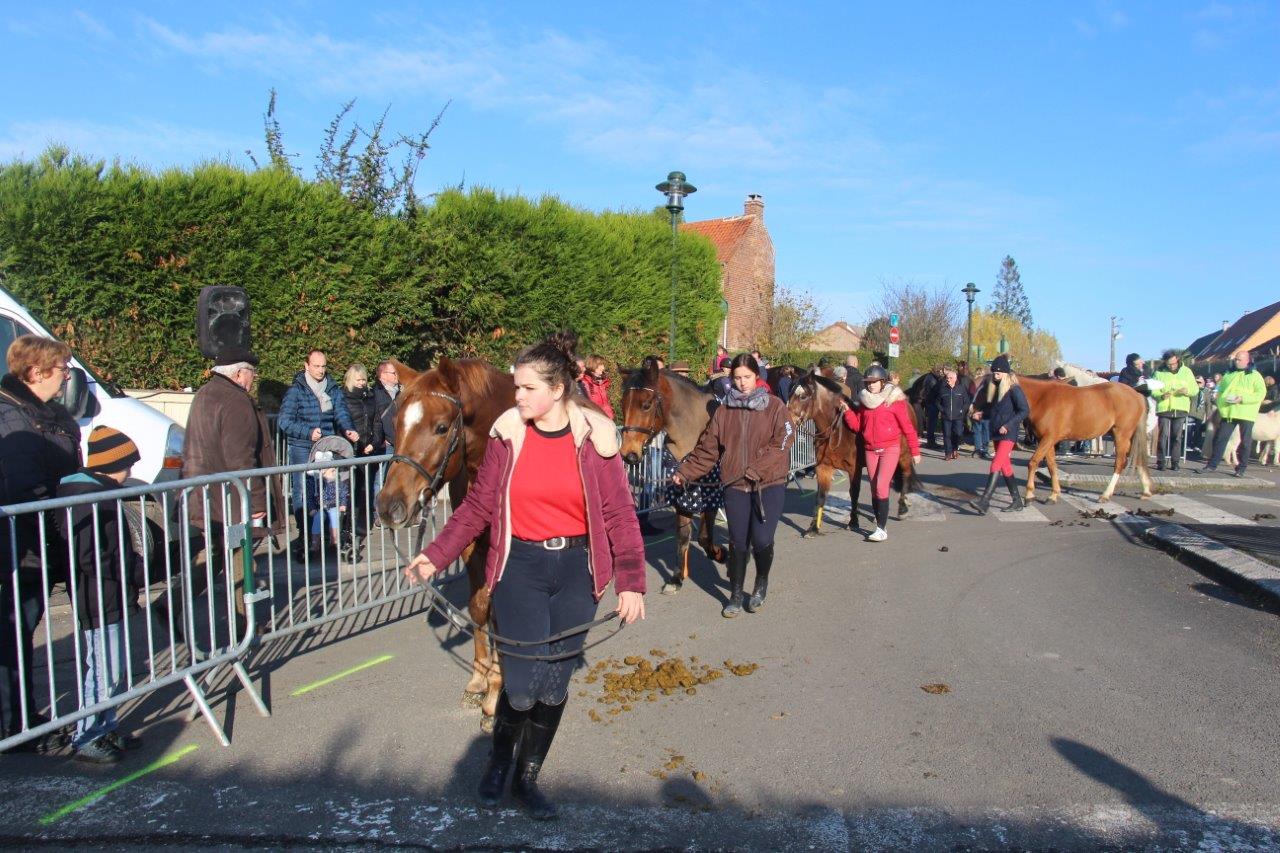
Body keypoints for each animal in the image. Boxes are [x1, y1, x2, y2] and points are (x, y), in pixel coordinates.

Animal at [373, 356, 514, 727]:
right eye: (395, 423)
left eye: (440, 427)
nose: (389, 506)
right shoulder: (471, 545)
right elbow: (480, 608)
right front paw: (480, 679)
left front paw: (496, 694)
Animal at [616, 356, 727, 591]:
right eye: (622, 404)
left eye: (646, 405)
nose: (629, 454)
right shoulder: (682, 492)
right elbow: (683, 535)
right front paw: (677, 577)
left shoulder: (712, 492)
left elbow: (705, 537)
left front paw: (722, 554)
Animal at [788, 368, 921, 535]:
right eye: (790, 394)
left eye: (803, 396)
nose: (788, 420)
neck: (838, 431)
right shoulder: (823, 467)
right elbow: (820, 496)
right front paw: (813, 528)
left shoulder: (854, 469)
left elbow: (854, 493)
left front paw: (853, 522)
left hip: (903, 455)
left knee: (905, 475)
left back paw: (902, 508)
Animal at [1013, 376, 1157, 502]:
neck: (1042, 398)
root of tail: (1137, 394)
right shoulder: (1046, 440)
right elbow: (1051, 465)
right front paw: (1054, 495)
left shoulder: (1048, 438)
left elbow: (1033, 462)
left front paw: (1029, 495)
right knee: (1138, 458)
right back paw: (1146, 491)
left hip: (1121, 435)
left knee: (1120, 462)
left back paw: (1106, 495)